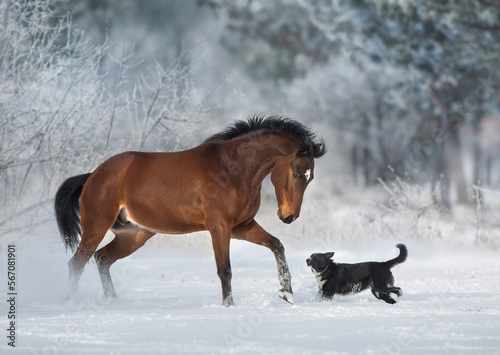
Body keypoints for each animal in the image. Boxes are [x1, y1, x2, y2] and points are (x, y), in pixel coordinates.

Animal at [54, 116, 326, 306]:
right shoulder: (219, 227)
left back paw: (113, 301)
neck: (232, 170)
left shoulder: (241, 226)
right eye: (296, 173)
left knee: (102, 259)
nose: (289, 216)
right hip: (96, 228)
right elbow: (225, 269)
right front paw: (229, 305)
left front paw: (286, 292)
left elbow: (277, 245)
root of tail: (93, 175)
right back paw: (72, 302)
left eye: (311, 177)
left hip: (134, 235)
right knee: (76, 263)